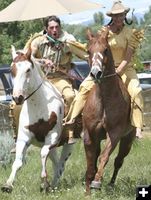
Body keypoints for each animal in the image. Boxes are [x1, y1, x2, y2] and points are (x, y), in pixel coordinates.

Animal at [1, 46, 74, 193]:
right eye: (12, 70)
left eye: (28, 69)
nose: (17, 97)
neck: (39, 106)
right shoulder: (23, 138)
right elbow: (18, 162)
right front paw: (8, 184)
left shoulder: (52, 137)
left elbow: (43, 154)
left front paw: (44, 182)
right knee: (56, 163)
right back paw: (54, 185)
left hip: (68, 144)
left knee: (61, 164)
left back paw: (53, 184)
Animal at [82, 27, 136, 195]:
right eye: (88, 50)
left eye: (105, 50)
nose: (95, 73)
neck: (104, 100)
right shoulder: (89, 134)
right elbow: (90, 163)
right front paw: (88, 191)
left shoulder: (115, 133)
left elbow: (104, 157)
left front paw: (97, 182)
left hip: (128, 139)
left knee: (118, 161)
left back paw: (111, 184)